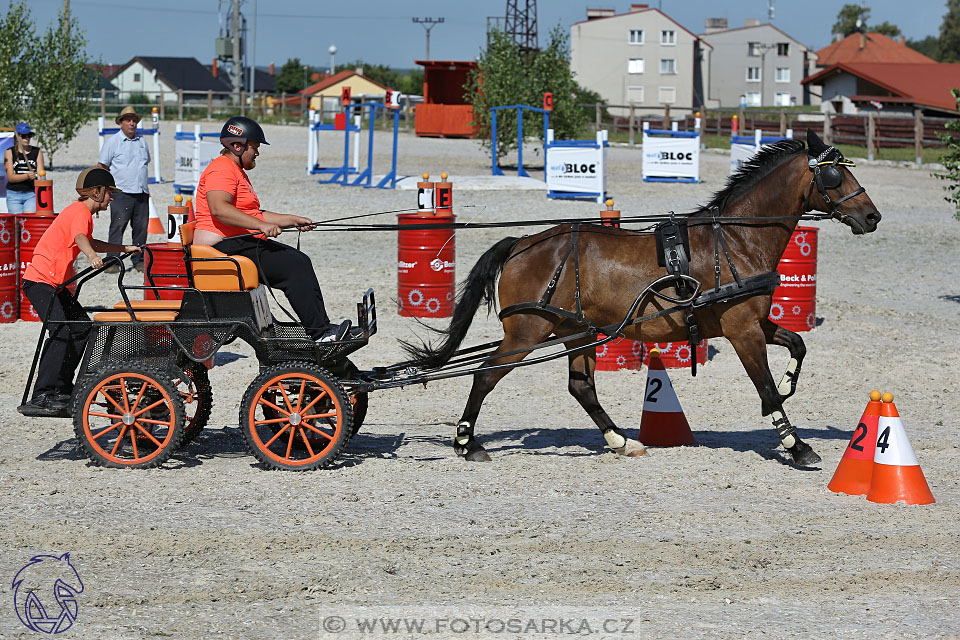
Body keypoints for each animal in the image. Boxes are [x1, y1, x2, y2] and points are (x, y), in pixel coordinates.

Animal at [402, 130, 880, 464]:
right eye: (836, 174)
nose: (872, 216)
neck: (736, 240)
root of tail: (522, 242)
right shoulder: (742, 330)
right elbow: (763, 386)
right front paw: (797, 445)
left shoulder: (754, 323)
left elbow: (797, 345)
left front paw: (787, 385)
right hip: (528, 331)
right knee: (485, 375)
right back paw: (467, 442)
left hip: (575, 329)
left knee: (581, 387)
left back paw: (620, 440)